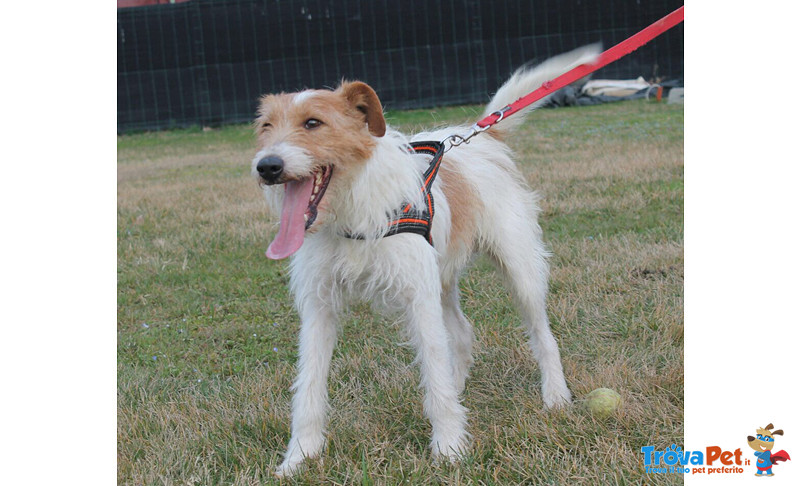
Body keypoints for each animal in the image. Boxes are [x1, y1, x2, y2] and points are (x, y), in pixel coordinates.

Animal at [250, 45, 600, 474]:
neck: (352, 210)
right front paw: (300, 456)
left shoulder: (419, 298)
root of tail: (482, 138)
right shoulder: (319, 307)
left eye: (313, 122)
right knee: (462, 334)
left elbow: (434, 371)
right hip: (442, 280)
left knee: (542, 335)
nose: (267, 166)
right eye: (266, 126)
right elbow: (309, 388)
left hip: (520, 271)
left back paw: (555, 396)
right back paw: (461, 387)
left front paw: (448, 448)